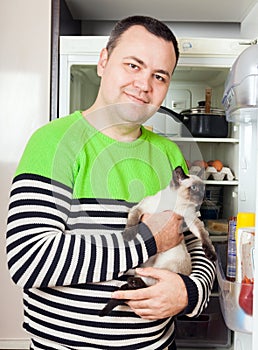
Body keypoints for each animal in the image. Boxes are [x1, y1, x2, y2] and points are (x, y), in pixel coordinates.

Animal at [100, 167, 217, 318]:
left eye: (204, 188)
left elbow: (204, 236)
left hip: (163, 268)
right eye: (194, 188)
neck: (176, 204)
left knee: (147, 286)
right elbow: (132, 222)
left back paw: (133, 283)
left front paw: (211, 255)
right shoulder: (141, 208)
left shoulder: (191, 220)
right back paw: (130, 281)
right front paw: (128, 236)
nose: (203, 196)